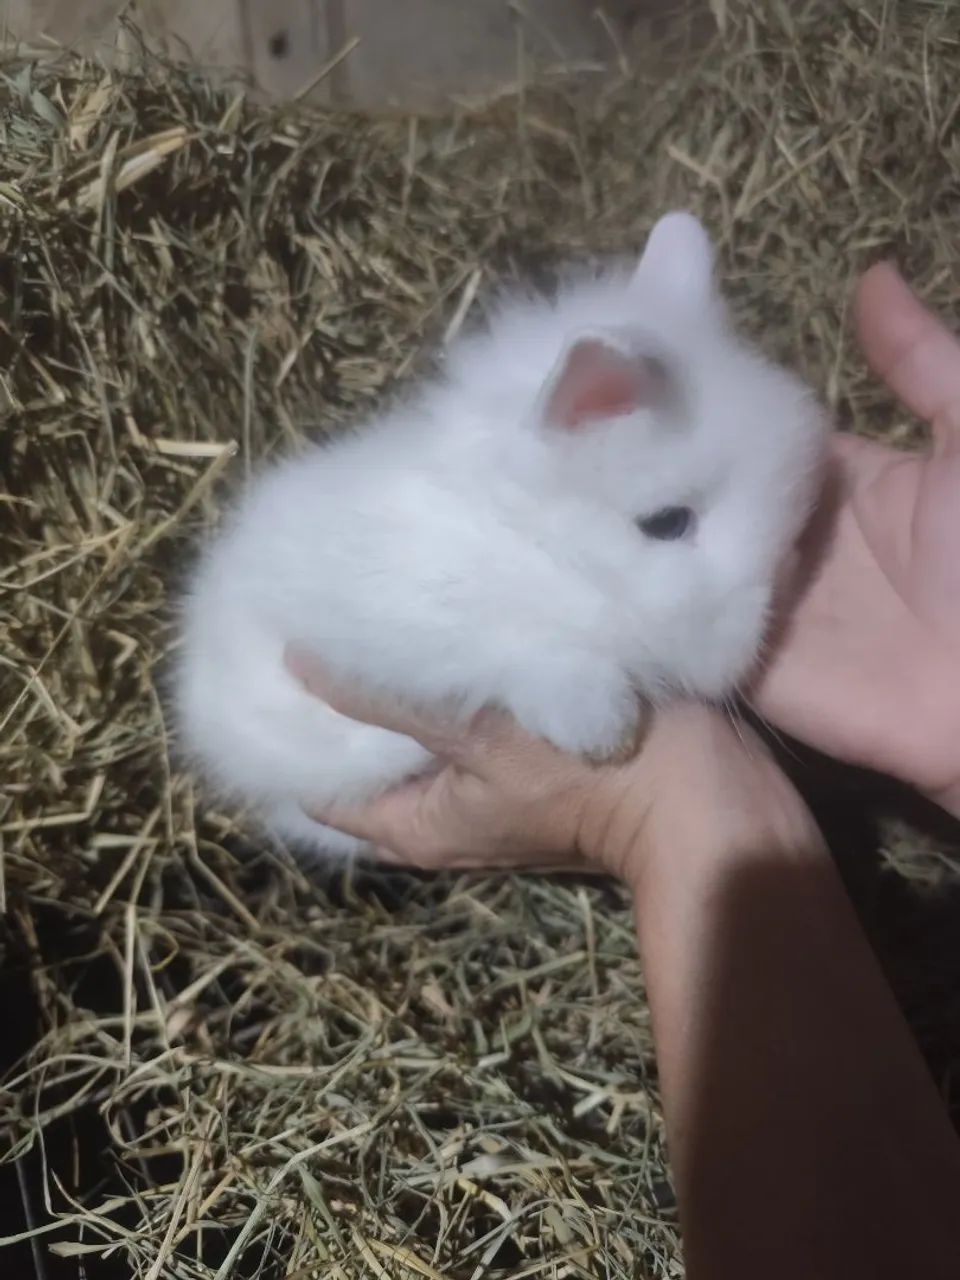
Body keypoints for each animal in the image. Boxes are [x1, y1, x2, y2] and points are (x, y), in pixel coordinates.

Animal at [173, 211, 829, 861]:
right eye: (667, 523)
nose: (742, 656)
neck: (537, 544)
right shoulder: (410, 619)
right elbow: (510, 648)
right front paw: (601, 730)